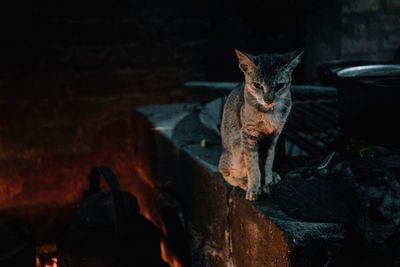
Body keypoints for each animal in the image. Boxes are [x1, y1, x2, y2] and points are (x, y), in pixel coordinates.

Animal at [219, 49, 304, 201]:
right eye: (257, 85)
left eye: (279, 86)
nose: (268, 100)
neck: (269, 113)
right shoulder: (248, 136)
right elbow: (253, 167)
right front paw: (254, 188)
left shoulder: (273, 137)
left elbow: (267, 163)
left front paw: (268, 182)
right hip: (235, 149)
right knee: (224, 171)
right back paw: (243, 181)